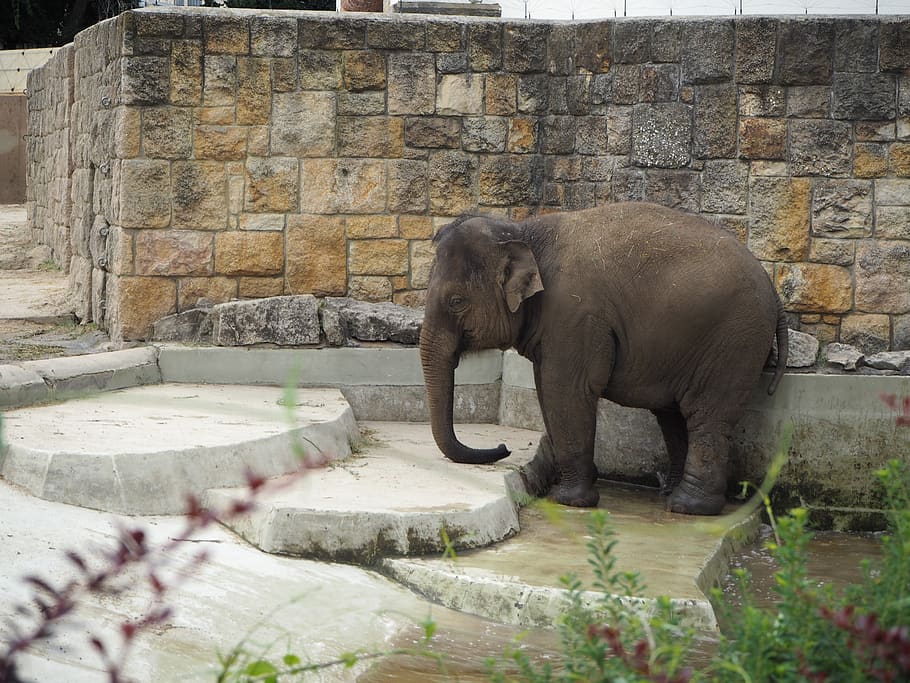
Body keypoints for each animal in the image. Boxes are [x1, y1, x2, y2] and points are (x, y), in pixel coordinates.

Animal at [419, 202, 788, 516]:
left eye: (456, 302)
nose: (503, 447)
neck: (524, 232)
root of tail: (773, 290)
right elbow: (546, 388)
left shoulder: (575, 315)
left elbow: (565, 389)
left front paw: (569, 501)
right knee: (674, 415)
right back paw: (670, 494)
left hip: (734, 341)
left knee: (705, 416)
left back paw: (687, 507)